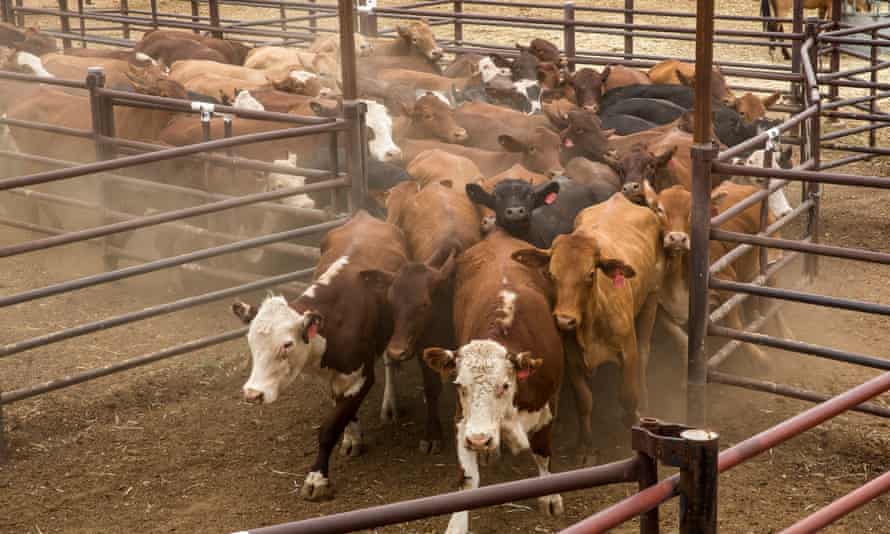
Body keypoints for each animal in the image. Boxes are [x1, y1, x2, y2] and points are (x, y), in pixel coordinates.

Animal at [231, 210, 407, 501]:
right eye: (251, 341)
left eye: (287, 344)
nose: (253, 394)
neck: (334, 320)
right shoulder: (334, 378)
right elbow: (343, 412)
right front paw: (352, 438)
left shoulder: (361, 376)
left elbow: (329, 428)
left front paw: (317, 479)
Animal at [424, 229, 565, 533]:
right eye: (459, 386)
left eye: (504, 385)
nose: (479, 440)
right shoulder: (462, 421)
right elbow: (468, 480)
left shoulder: (548, 405)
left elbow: (542, 451)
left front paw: (550, 497)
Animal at [512, 192, 662, 462]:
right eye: (551, 274)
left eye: (591, 274)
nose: (564, 320)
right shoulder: (572, 359)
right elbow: (584, 402)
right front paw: (585, 447)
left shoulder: (628, 352)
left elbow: (627, 396)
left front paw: (632, 422)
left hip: (652, 297)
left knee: (645, 351)